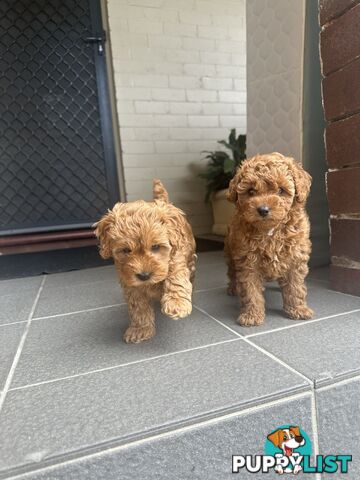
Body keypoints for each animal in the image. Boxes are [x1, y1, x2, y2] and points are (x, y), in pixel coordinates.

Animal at [94, 179, 195, 342]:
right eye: (126, 250)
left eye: (155, 247)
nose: (144, 276)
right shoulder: (131, 284)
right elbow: (138, 307)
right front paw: (140, 329)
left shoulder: (176, 257)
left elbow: (176, 277)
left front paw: (176, 303)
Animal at [226, 153, 314, 326]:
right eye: (251, 191)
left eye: (281, 190)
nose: (263, 209)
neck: (271, 231)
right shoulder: (248, 262)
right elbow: (250, 290)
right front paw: (252, 315)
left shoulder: (295, 258)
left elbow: (295, 286)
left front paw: (298, 309)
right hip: (230, 253)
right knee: (232, 273)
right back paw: (233, 288)